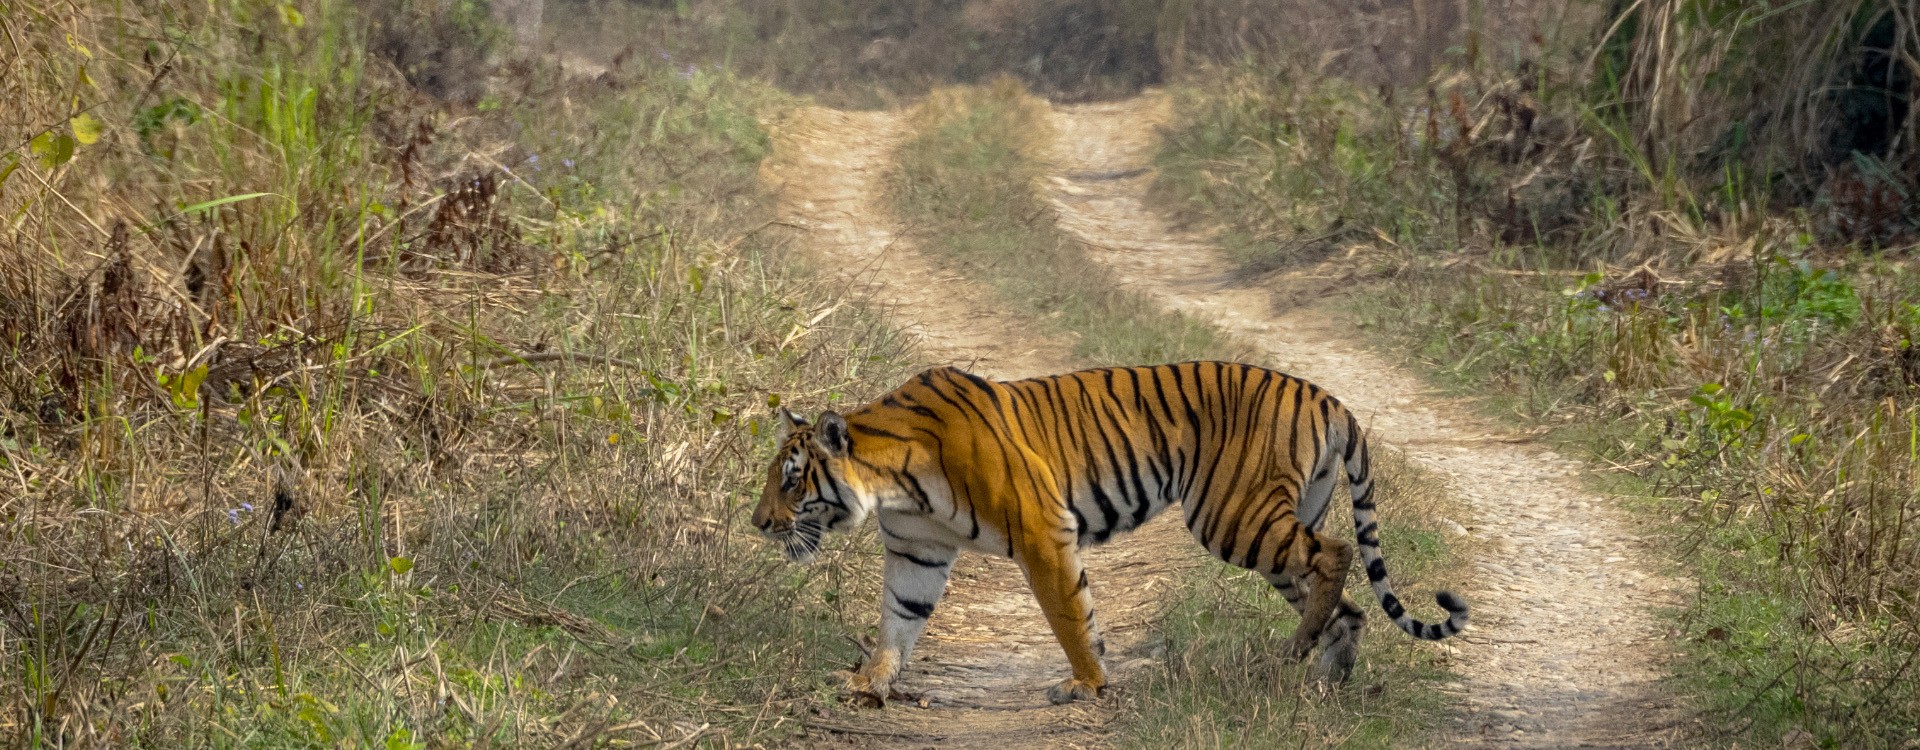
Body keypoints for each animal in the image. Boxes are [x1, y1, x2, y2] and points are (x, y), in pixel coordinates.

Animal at [752, 360, 1466, 709]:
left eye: (791, 482)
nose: (758, 524)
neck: (892, 481)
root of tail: (1326, 397)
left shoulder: (1042, 531)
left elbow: (1069, 614)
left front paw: (1088, 685)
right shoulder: (916, 551)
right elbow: (899, 622)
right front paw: (870, 683)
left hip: (1234, 516)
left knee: (1338, 553)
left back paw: (1295, 653)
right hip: (1272, 528)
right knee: (1345, 603)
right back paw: (1322, 677)